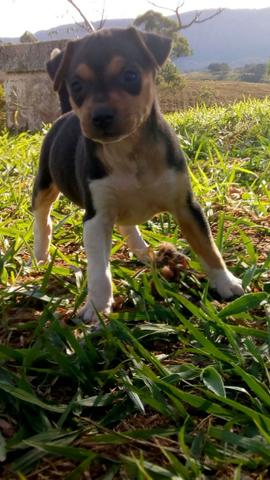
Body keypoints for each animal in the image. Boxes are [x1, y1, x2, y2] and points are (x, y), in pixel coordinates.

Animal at [32, 28, 245, 324]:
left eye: (130, 75)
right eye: (76, 85)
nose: (100, 117)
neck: (130, 149)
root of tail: (66, 115)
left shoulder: (186, 205)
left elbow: (207, 246)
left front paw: (225, 282)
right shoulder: (97, 217)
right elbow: (99, 270)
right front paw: (97, 306)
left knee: (126, 225)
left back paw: (144, 252)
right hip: (45, 183)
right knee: (42, 217)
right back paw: (40, 253)